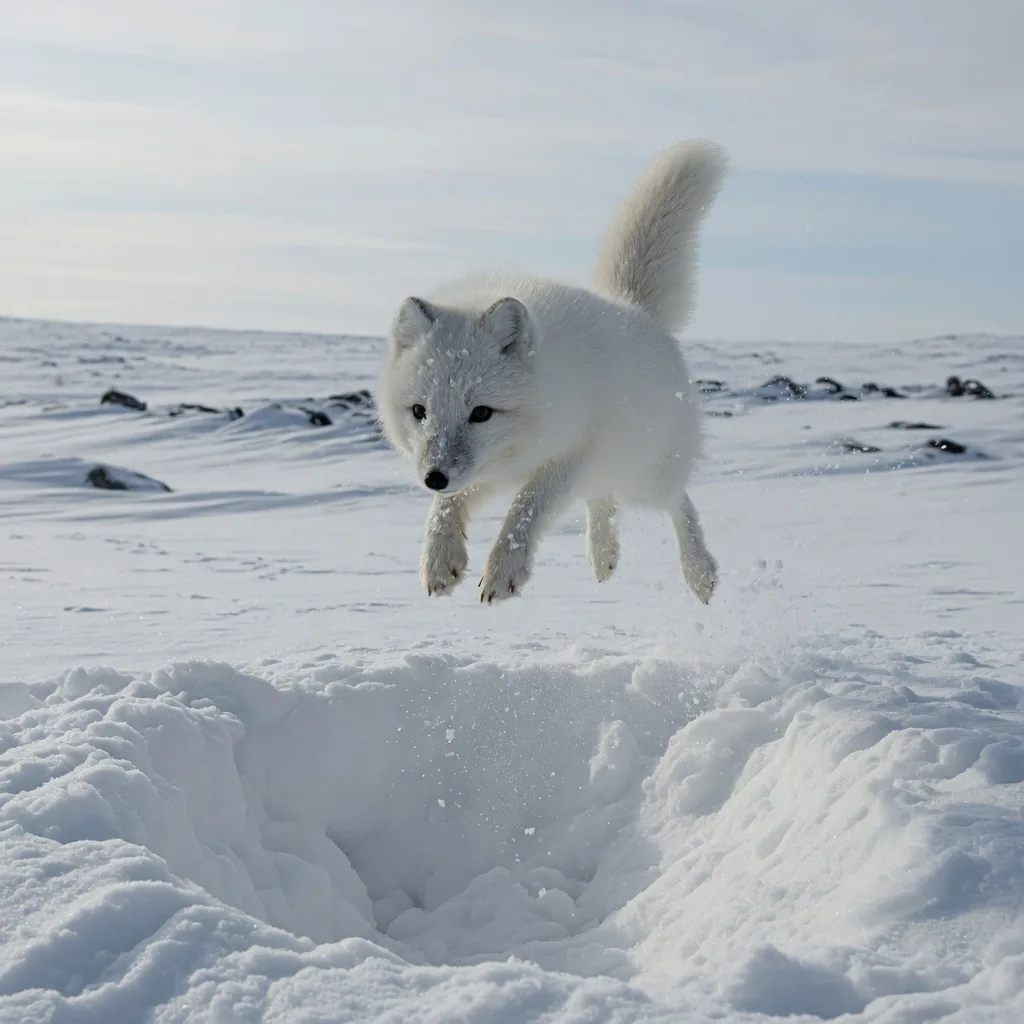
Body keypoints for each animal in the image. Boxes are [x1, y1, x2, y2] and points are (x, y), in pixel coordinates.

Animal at [378, 139, 727, 604]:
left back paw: (699, 572)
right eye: (420, 411)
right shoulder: (493, 469)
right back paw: (603, 555)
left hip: (644, 471)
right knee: (602, 498)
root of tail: (635, 306)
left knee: (678, 501)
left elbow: (527, 510)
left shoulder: (568, 455)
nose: (434, 477)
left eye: (481, 413)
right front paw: (438, 560)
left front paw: (503, 570)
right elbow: (446, 507)